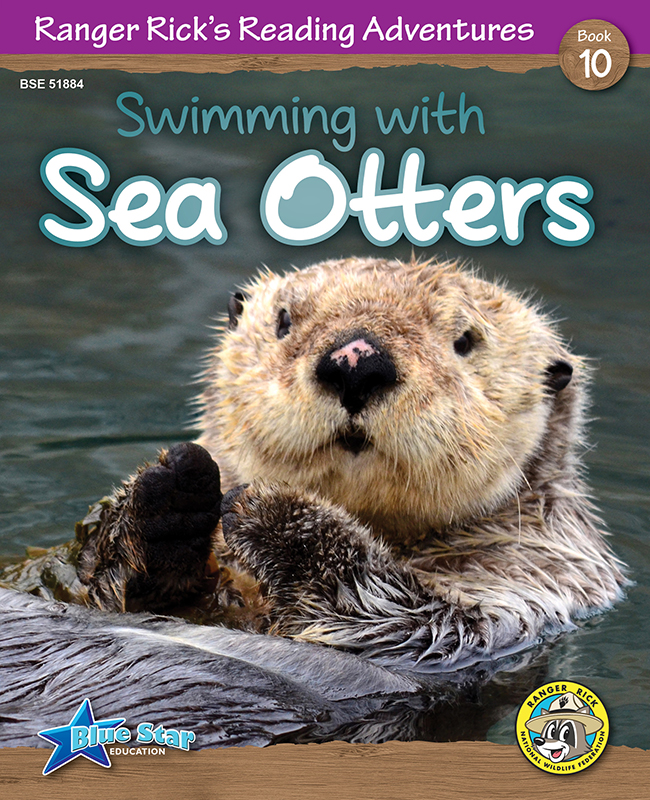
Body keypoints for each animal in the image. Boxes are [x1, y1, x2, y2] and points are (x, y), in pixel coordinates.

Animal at [1, 256, 627, 672]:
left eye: (466, 340)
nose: (356, 361)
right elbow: (59, 578)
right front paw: (168, 497)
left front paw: (272, 511)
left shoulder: (535, 581)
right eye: (283, 321)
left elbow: (418, 621)